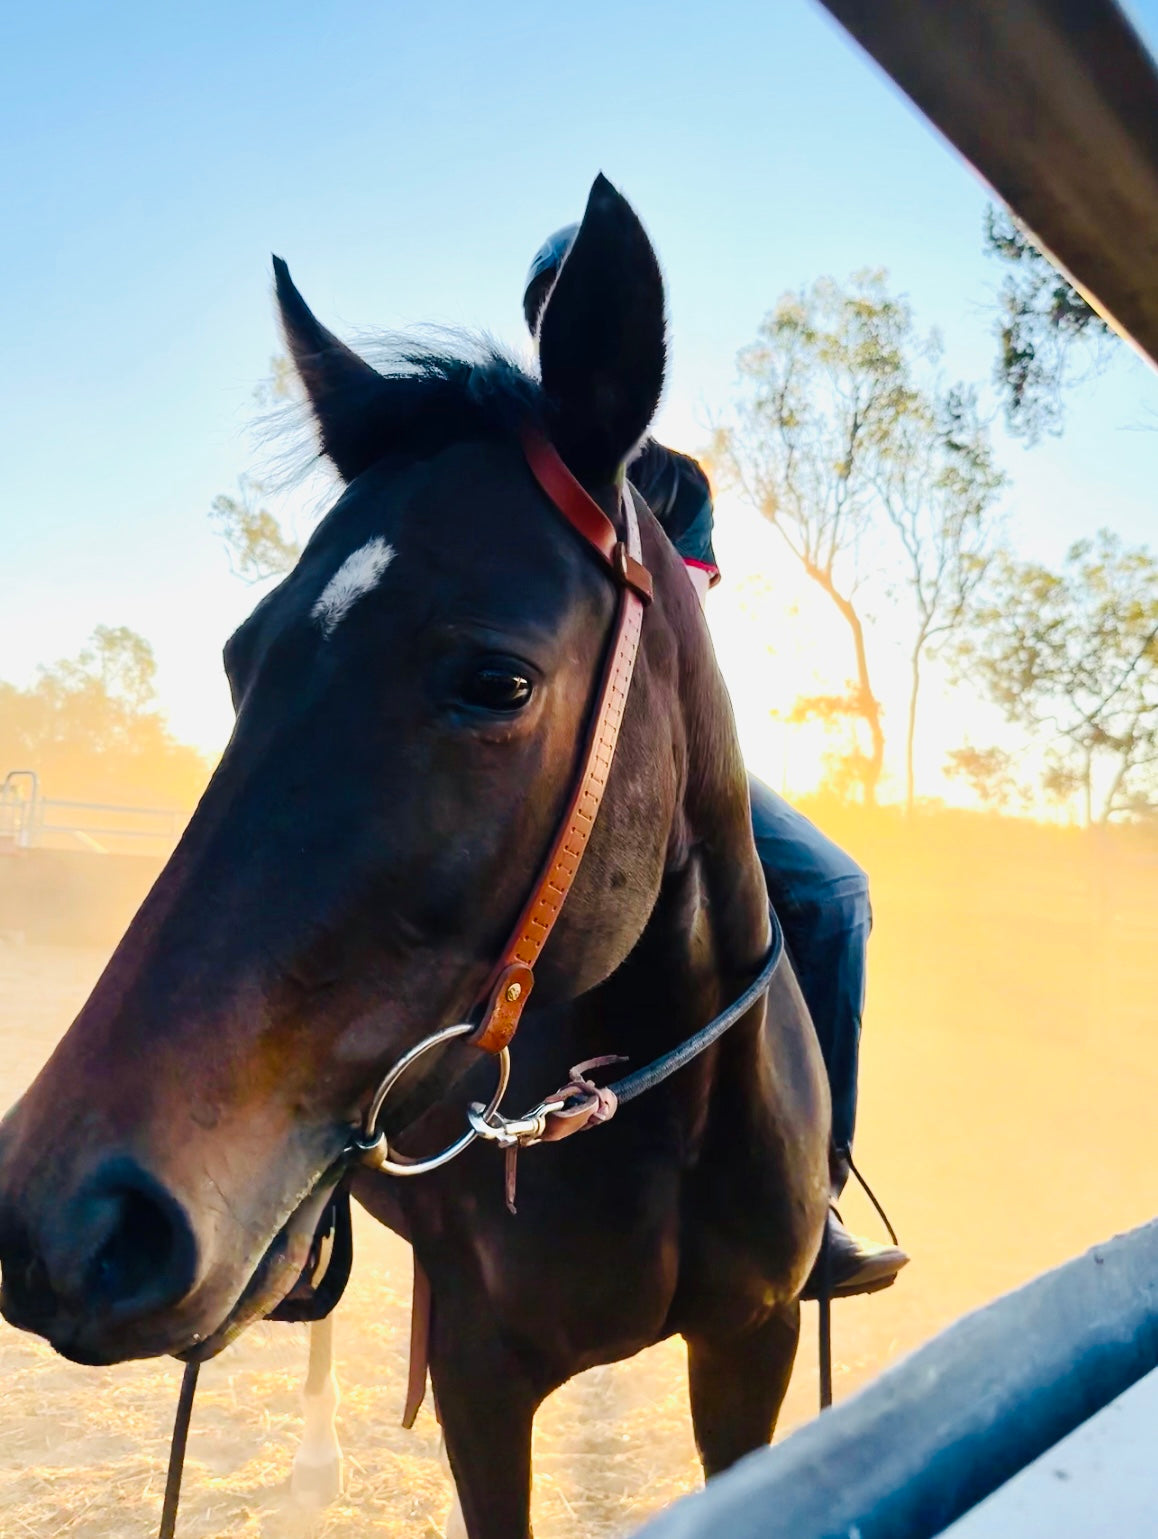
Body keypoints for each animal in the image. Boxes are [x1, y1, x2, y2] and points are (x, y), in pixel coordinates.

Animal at [0, 174, 831, 1532]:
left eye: (497, 681)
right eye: (241, 658)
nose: (70, 1221)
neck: (652, 1109)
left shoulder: (750, 1346)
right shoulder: (480, 1383)